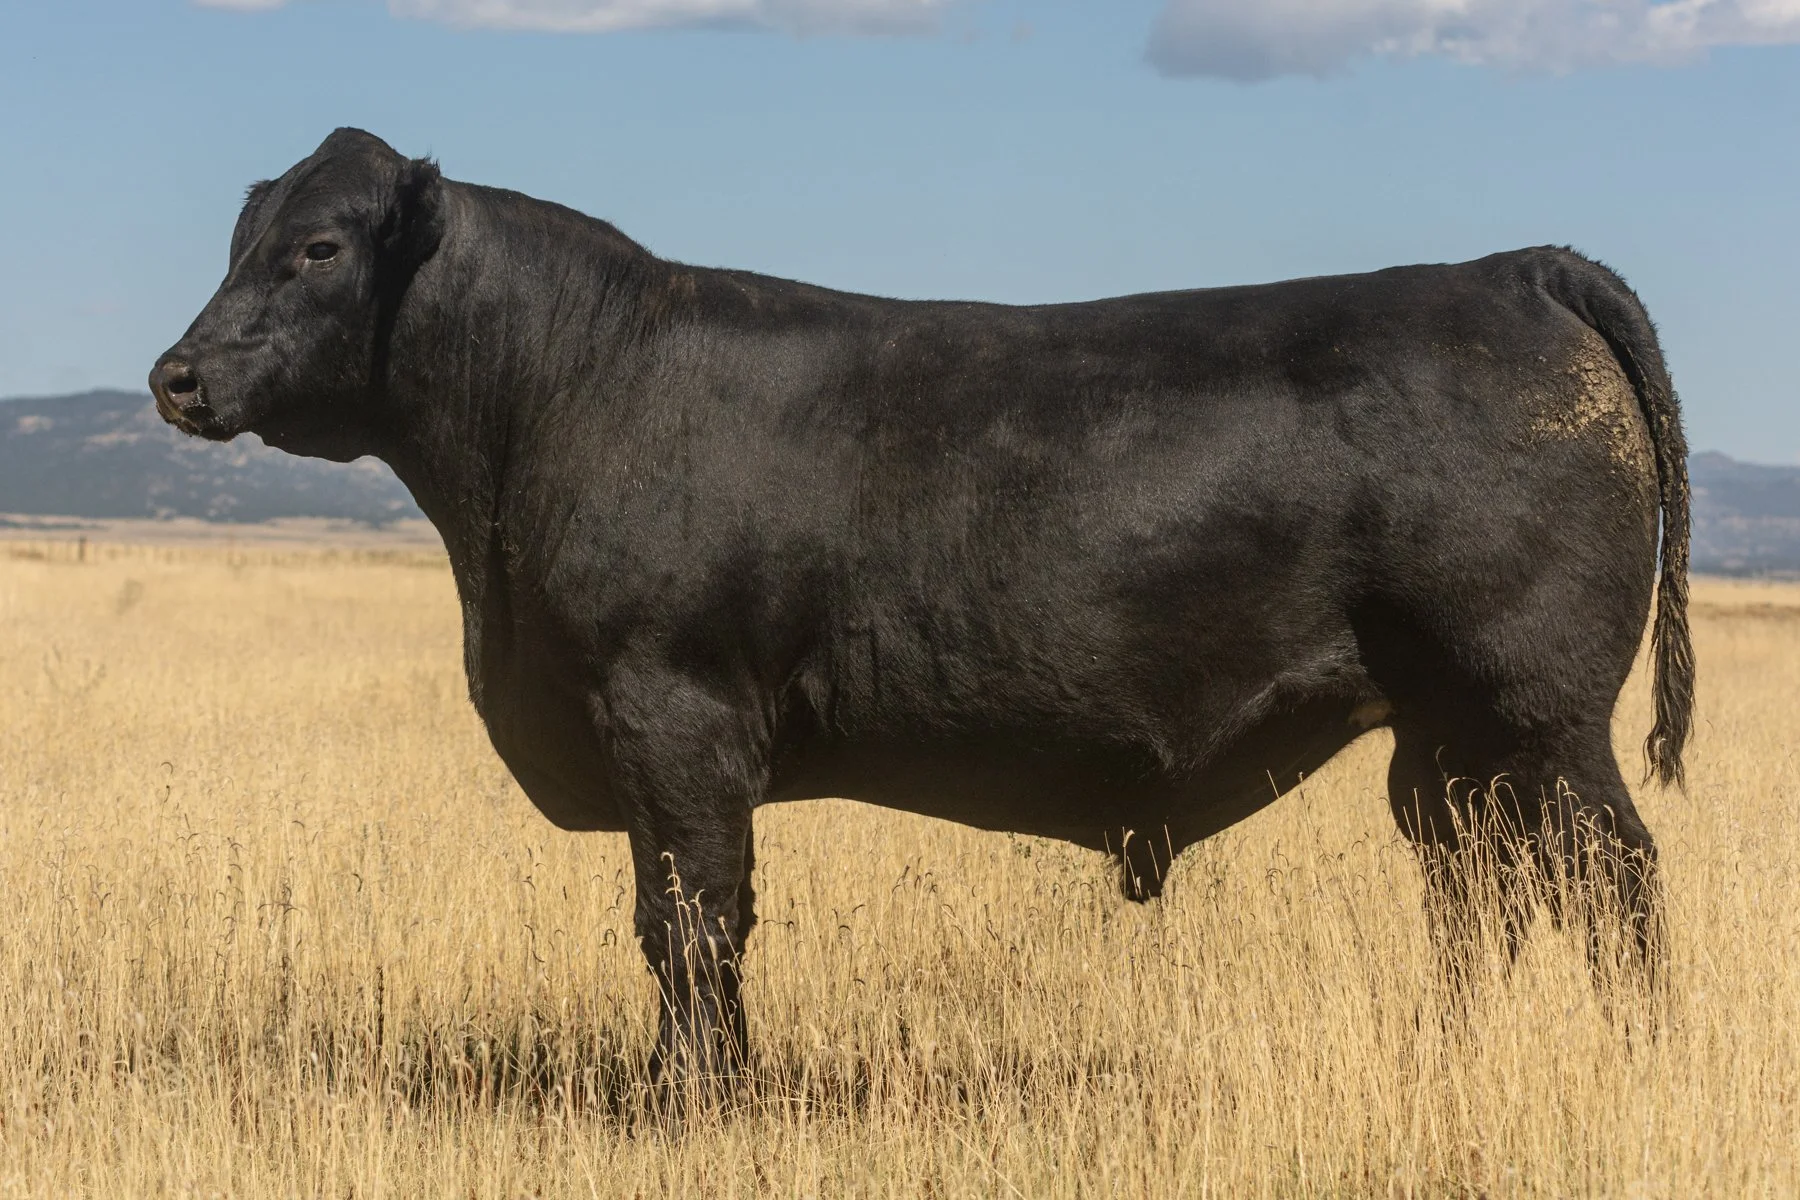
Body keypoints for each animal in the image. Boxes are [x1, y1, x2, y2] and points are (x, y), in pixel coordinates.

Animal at [152, 128, 1692, 1090]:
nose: (176, 376)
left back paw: (1636, 1059)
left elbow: (693, 921)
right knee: (1483, 890)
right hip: (1447, 738)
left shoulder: (673, 711)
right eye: (242, 236)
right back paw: (1461, 1054)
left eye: (319, 248)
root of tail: (1511, 269)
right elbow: (671, 923)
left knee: (1611, 879)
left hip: (1539, 709)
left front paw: (695, 1100)